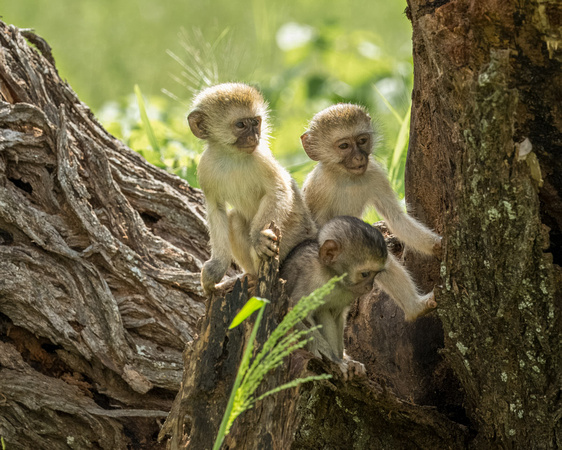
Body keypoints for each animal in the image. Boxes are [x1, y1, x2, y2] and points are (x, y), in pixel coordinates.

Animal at [188, 83, 318, 296]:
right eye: (241, 125)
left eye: (256, 122)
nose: (254, 136)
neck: (232, 156)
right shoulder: (205, 168)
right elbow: (217, 209)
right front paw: (216, 269)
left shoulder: (261, 157)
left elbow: (278, 190)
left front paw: (258, 238)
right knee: (234, 220)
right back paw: (252, 277)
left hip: (295, 233)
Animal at [278, 216, 384, 374]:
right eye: (365, 274)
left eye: (375, 275)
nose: (369, 287)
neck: (331, 274)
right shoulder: (312, 277)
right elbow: (296, 312)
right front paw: (332, 358)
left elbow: (338, 315)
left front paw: (345, 360)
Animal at [300, 103, 440, 320]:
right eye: (344, 146)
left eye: (362, 141)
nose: (359, 157)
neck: (345, 177)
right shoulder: (318, 188)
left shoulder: (374, 173)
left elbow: (396, 218)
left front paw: (437, 246)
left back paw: (416, 309)